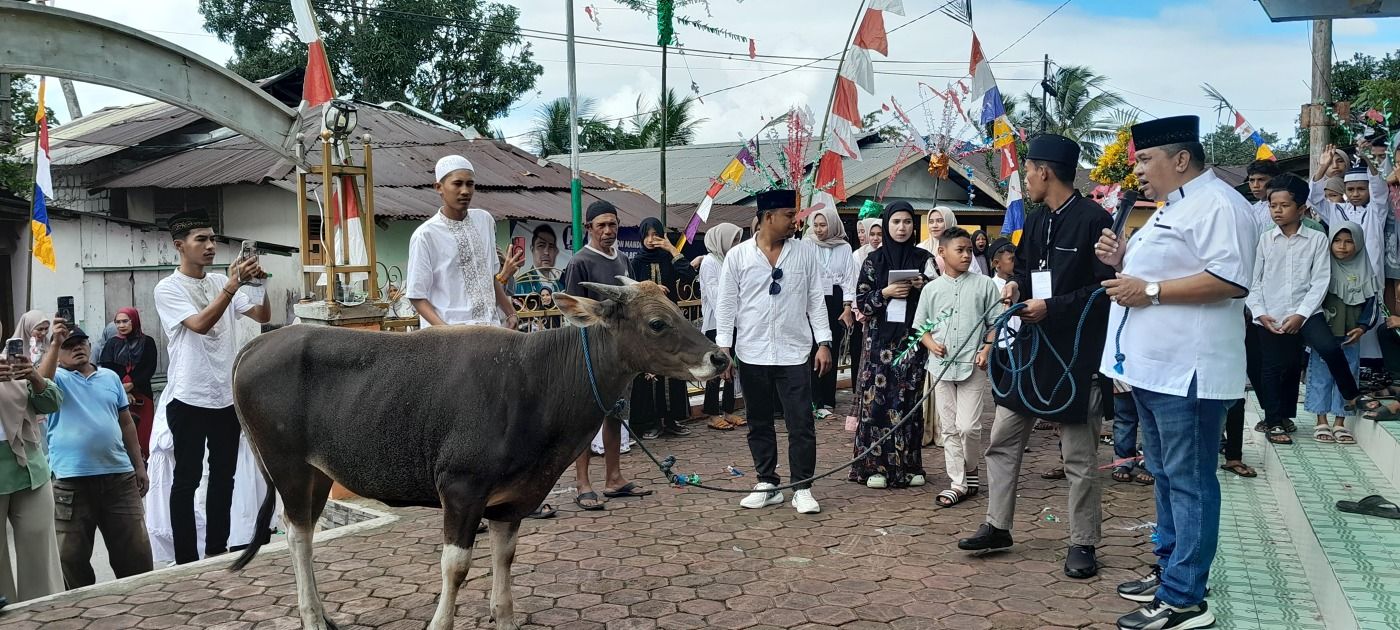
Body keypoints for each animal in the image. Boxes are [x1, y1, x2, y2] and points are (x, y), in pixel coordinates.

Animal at [226, 280, 722, 630]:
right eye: (657, 323)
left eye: (675, 309)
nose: (719, 358)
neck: (535, 378)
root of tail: (257, 343)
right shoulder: (461, 490)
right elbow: (457, 566)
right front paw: (441, 621)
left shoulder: (512, 498)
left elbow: (505, 557)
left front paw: (503, 617)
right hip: (287, 466)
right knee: (297, 534)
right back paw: (312, 617)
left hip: (319, 471)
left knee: (305, 530)